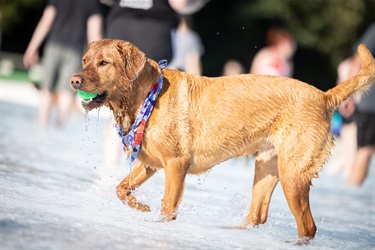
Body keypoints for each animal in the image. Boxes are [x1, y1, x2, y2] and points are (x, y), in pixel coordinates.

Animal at [70, 38, 375, 242]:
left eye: (104, 63)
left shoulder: (176, 164)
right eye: (85, 60)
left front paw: (159, 221)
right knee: (257, 216)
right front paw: (141, 206)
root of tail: (324, 96)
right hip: (267, 168)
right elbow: (121, 188)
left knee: (308, 227)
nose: (74, 80)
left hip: (293, 175)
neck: (145, 96)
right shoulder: (151, 164)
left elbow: (168, 206)